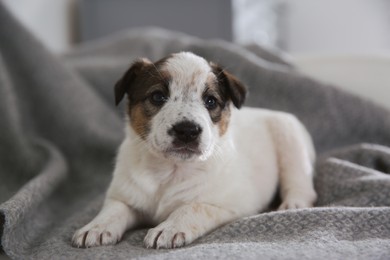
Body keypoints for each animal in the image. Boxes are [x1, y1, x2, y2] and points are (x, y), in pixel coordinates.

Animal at [71, 51, 318, 249]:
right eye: (158, 96)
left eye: (210, 101)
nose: (187, 131)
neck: (170, 170)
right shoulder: (124, 196)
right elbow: (113, 209)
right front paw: (96, 227)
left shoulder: (232, 205)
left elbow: (192, 207)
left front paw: (169, 228)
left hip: (290, 138)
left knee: (300, 183)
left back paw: (293, 204)